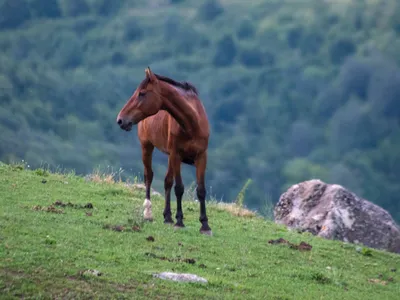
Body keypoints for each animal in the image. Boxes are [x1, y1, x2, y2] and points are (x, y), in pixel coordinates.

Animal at [115, 67, 211, 236]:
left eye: (142, 93)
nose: (120, 120)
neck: (192, 123)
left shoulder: (201, 157)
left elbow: (200, 190)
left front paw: (205, 225)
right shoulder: (176, 155)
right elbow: (179, 188)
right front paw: (179, 222)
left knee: (167, 182)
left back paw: (168, 217)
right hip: (147, 147)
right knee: (149, 176)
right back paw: (148, 213)